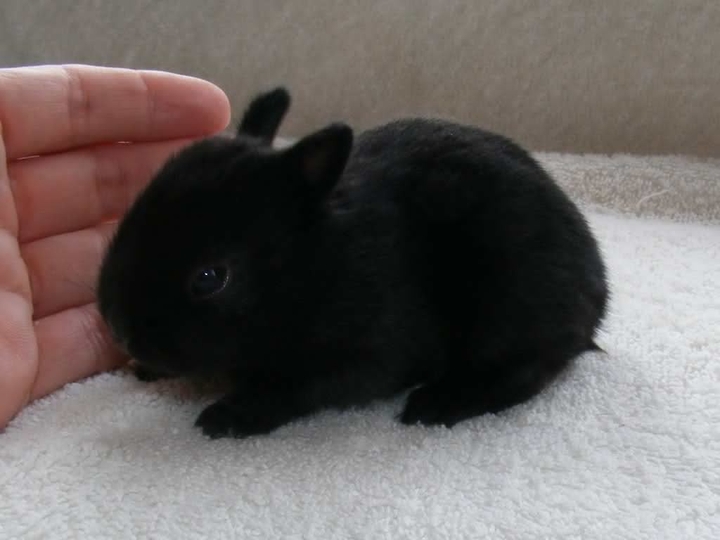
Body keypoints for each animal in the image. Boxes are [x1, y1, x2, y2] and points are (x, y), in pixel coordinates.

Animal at [97, 87, 609, 439]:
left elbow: (293, 389)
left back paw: (435, 405)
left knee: (527, 370)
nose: (120, 331)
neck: (316, 265)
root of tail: (595, 294)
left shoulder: (362, 356)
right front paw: (146, 370)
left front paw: (229, 415)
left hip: (510, 305)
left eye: (209, 278)